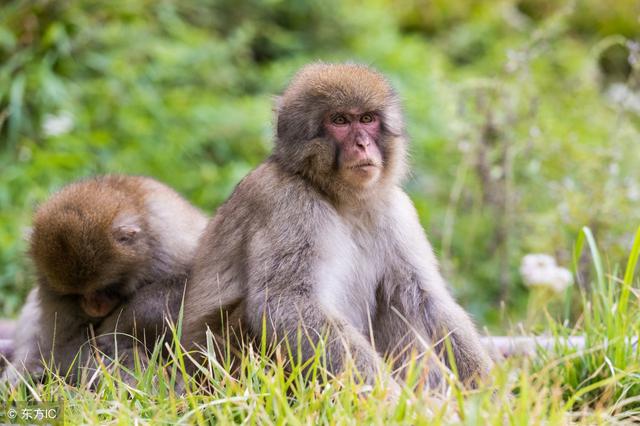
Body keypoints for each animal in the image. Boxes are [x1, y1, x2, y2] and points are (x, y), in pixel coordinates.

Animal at [3, 175, 208, 384]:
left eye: (106, 288)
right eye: (76, 295)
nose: (94, 308)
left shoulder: (169, 247)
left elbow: (186, 285)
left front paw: (119, 329)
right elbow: (65, 343)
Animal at [182, 61, 492, 392]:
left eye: (367, 119)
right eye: (340, 120)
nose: (362, 144)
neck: (340, 198)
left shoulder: (397, 209)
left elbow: (425, 296)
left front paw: (489, 389)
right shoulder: (288, 203)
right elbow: (288, 304)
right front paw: (389, 397)